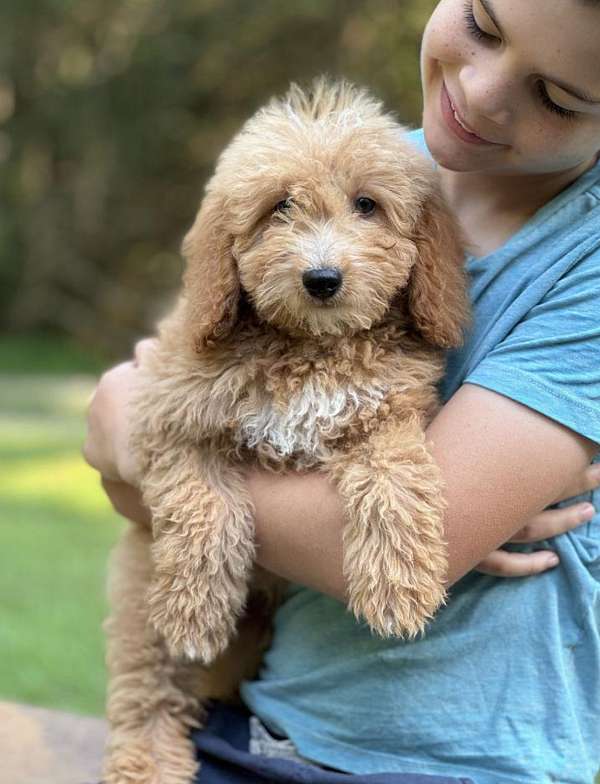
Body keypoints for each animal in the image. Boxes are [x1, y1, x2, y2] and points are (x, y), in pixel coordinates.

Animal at [103, 81, 468, 784]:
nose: (322, 279)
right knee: (148, 694)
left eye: (367, 205)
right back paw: (147, 761)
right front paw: (196, 608)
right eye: (280, 208)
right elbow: (203, 504)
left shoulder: (391, 409)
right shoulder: (167, 416)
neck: (309, 352)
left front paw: (399, 587)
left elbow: (395, 480)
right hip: (140, 601)